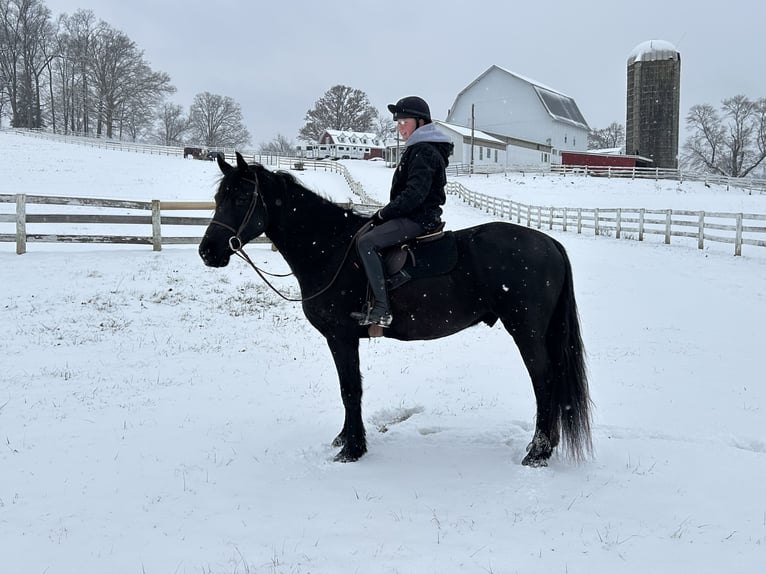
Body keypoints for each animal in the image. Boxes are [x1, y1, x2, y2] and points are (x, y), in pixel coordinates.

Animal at [200, 153, 592, 468]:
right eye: (219, 198)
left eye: (241, 197)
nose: (208, 251)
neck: (330, 249)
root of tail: (549, 243)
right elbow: (349, 389)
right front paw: (345, 438)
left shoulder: (341, 337)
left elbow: (349, 390)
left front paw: (352, 449)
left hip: (526, 330)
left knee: (543, 380)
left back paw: (538, 452)